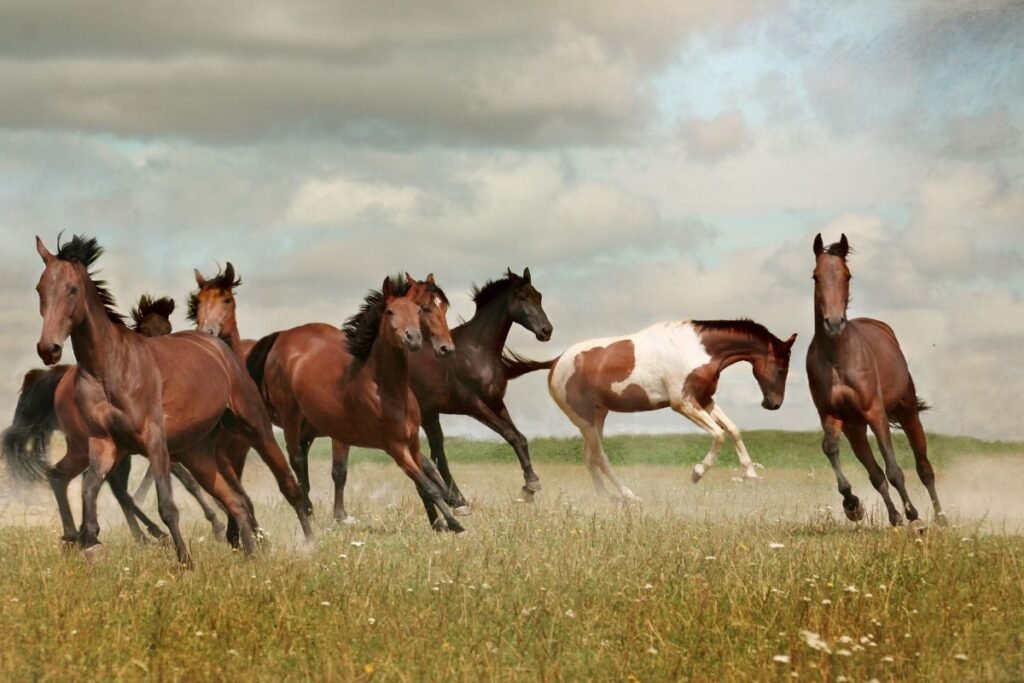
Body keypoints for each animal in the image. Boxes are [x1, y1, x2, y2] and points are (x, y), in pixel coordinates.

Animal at [2, 293, 226, 543]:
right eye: (146, 332)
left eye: (168, 329)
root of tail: (61, 378)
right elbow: (188, 480)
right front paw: (217, 523)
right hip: (93, 446)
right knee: (107, 485)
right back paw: (143, 533)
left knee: (107, 485)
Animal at [28, 234, 313, 565]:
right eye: (40, 288)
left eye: (72, 289)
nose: (48, 348)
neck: (109, 368)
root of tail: (218, 347)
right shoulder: (103, 443)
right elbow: (89, 490)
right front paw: (89, 542)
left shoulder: (154, 441)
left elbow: (167, 505)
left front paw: (185, 562)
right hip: (198, 454)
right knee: (237, 502)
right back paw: (251, 556)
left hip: (255, 428)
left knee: (287, 486)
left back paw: (310, 543)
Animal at [246, 274, 466, 532]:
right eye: (426, 308)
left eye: (419, 310)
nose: (445, 348)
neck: (387, 391)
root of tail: (282, 338)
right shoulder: (394, 447)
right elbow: (427, 485)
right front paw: (453, 521)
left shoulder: (410, 443)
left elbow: (425, 475)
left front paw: (444, 517)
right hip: (291, 421)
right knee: (297, 461)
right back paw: (308, 512)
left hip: (309, 429)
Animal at [515, 319, 796, 500]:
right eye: (782, 367)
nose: (773, 404)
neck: (698, 349)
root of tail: (556, 361)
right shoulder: (682, 403)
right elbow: (718, 434)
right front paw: (697, 473)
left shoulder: (704, 400)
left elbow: (733, 430)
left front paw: (751, 475)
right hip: (584, 419)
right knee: (600, 456)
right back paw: (629, 496)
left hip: (598, 416)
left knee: (589, 457)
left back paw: (606, 497)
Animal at [806, 233, 944, 529]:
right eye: (816, 276)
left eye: (847, 275)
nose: (833, 323)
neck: (838, 358)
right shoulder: (831, 415)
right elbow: (831, 449)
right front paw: (852, 505)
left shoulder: (875, 412)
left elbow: (894, 469)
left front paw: (914, 516)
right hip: (856, 428)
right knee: (875, 473)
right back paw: (893, 516)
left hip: (907, 412)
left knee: (924, 468)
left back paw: (940, 518)